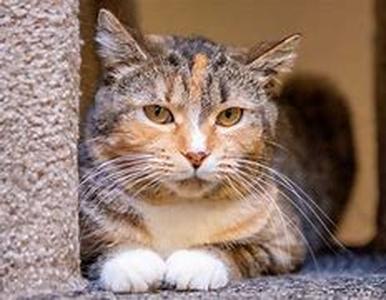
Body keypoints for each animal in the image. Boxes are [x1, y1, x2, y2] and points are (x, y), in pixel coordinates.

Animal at [79, 8, 356, 292]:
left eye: (230, 115)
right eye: (157, 112)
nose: (196, 154)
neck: (179, 206)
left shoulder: (285, 241)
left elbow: (246, 250)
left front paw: (197, 262)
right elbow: (96, 250)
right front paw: (131, 262)